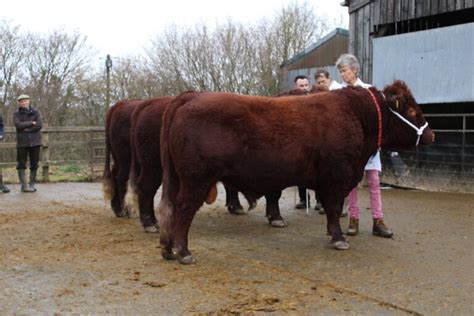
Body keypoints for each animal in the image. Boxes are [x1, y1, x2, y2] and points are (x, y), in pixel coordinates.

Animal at [158, 80, 434, 262]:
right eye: (411, 110)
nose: (432, 135)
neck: (357, 115)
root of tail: (191, 96)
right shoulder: (336, 178)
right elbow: (334, 208)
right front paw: (339, 238)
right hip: (196, 180)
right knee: (184, 209)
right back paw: (183, 252)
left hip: (178, 179)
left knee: (170, 207)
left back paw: (168, 249)